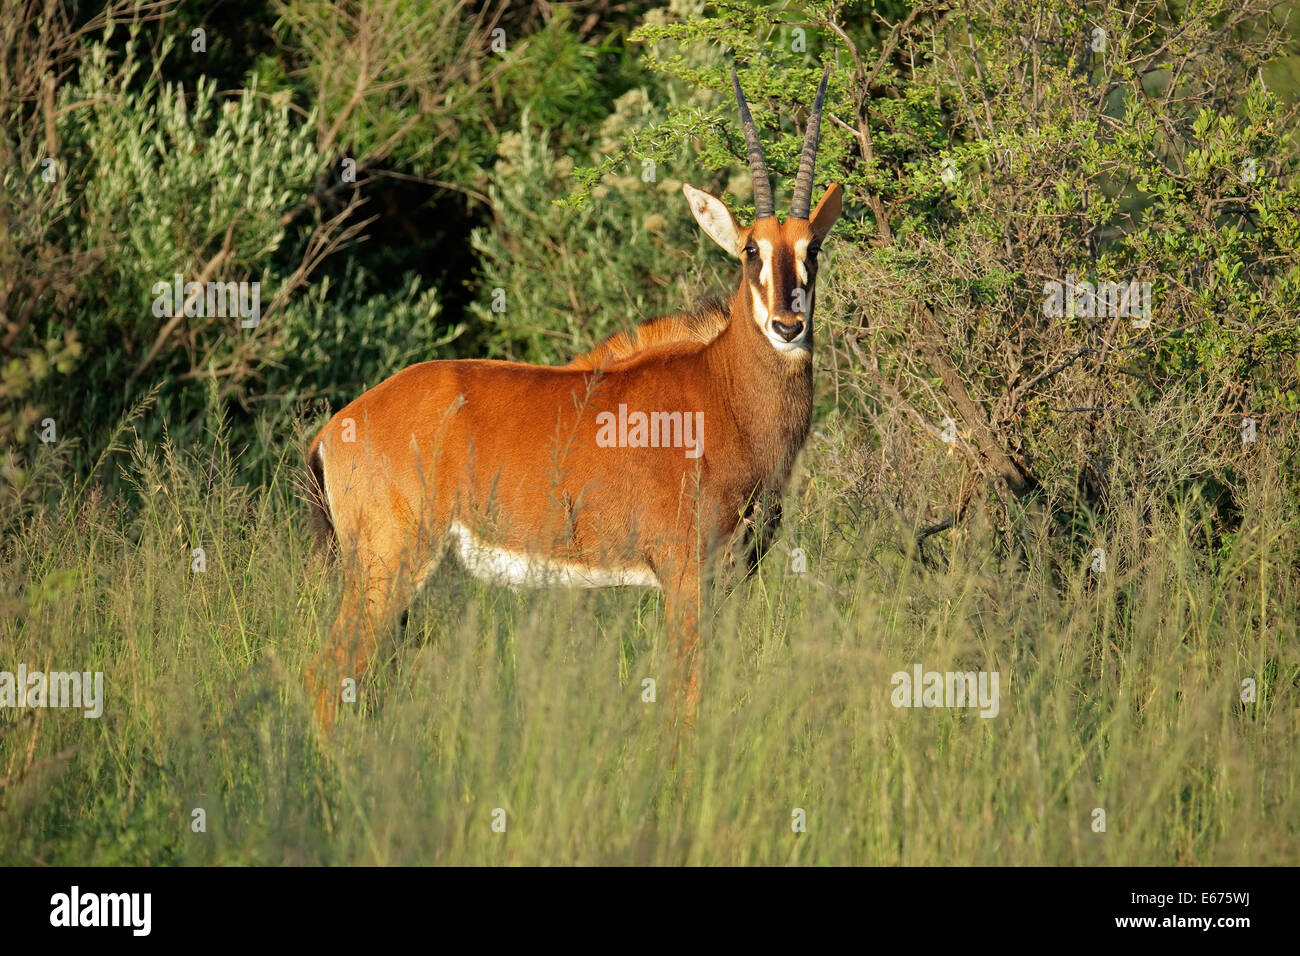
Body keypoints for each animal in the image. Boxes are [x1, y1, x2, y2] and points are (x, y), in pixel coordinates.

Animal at [310, 65, 847, 723]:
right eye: (751, 249)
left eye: (811, 248)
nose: (788, 327)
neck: (723, 392)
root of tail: (336, 429)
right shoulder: (684, 572)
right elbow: (684, 695)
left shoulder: (731, 578)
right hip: (388, 562)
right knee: (330, 668)